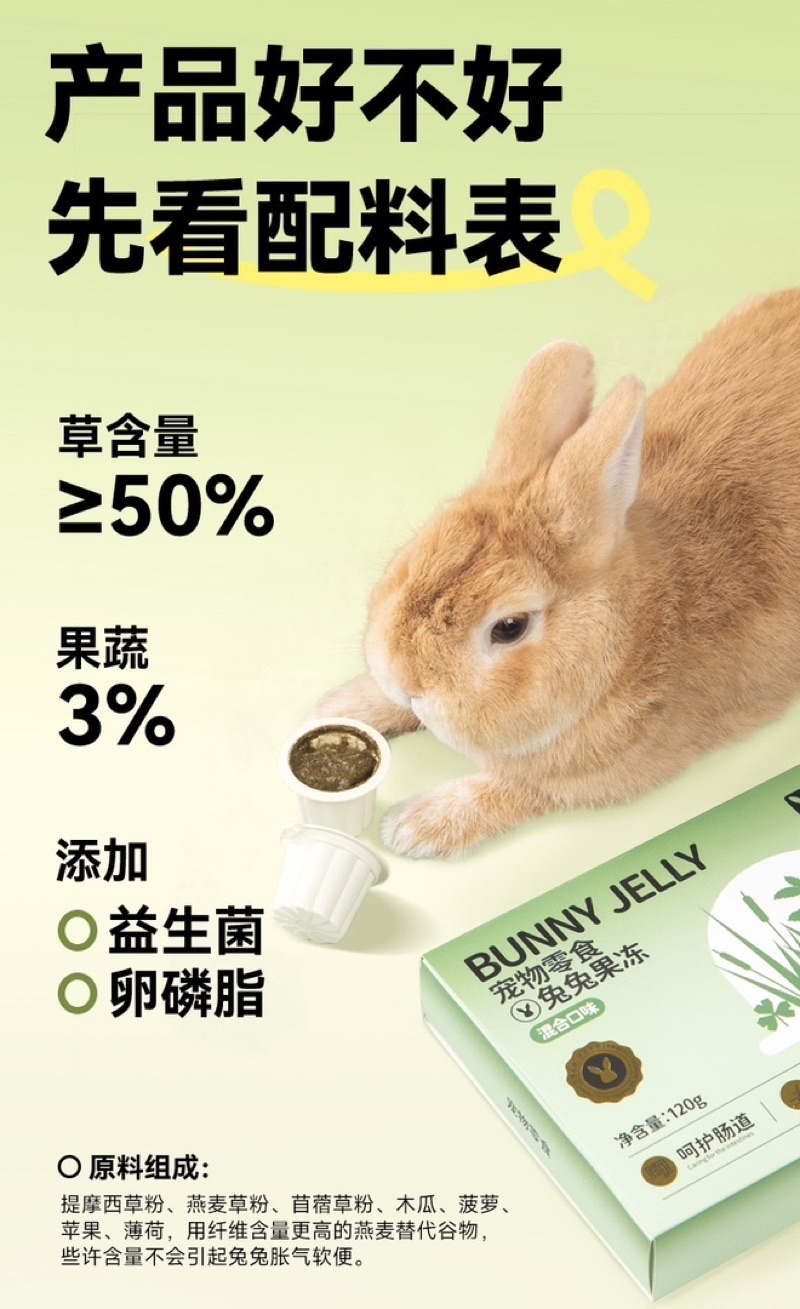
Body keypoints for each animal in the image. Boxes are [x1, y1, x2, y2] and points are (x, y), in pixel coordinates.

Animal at [315, 290, 800, 858]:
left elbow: (511, 791)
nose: (409, 680)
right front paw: (343, 704)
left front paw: (413, 827)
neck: (640, 630)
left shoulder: (582, 781)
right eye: (417, 555)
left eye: (510, 627)